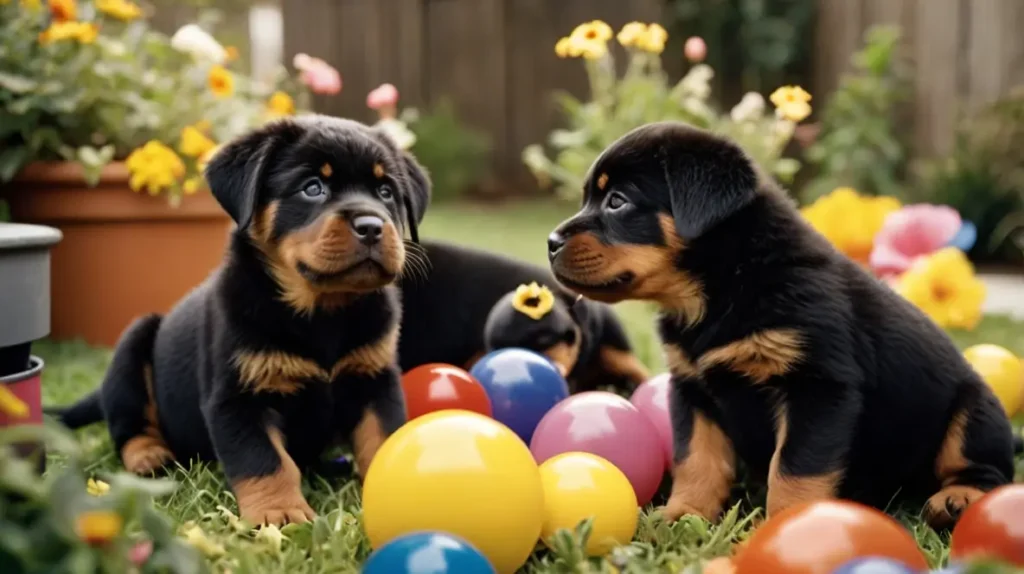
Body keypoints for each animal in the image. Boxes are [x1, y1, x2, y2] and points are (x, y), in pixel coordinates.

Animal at [48, 114, 428, 527]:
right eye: (313, 188)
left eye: (386, 192)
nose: (372, 225)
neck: (324, 312)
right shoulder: (237, 397)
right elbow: (264, 460)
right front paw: (280, 513)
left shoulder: (375, 379)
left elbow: (381, 436)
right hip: (134, 344)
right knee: (127, 426)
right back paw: (149, 455)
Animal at [548, 120, 1011, 527]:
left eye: (617, 201)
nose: (551, 242)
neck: (723, 287)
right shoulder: (691, 389)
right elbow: (696, 458)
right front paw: (684, 514)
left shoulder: (817, 386)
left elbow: (794, 469)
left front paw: (790, 525)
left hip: (973, 412)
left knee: (988, 470)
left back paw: (955, 499)